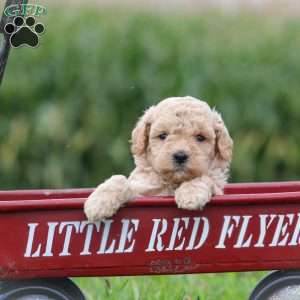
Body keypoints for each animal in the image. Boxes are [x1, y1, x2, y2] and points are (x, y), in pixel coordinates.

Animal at [83, 96, 233, 220]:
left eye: (200, 137)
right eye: (163, 135)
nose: (180, 156)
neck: (172, 182)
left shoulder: (217, 186)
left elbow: (204, 177)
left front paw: (191, 194)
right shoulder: (143, 191)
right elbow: (119, 179)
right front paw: (98, 203)